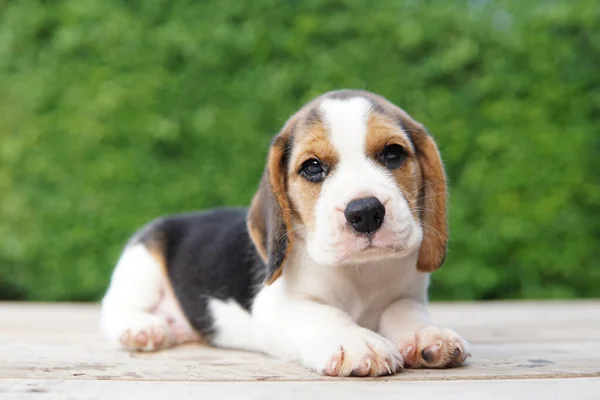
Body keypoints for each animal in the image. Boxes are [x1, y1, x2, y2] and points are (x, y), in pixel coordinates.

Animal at [101, 89, 472, 376]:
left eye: (393, 153)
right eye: (312, 167)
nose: (365, 212)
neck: (359, 273)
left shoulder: (407, 295)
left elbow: (404, 309)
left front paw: (428, 335)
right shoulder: (275, 306)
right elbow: (324, 314)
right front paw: (357, 342)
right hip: (141, 261)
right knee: (114, 308)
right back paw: (143, 328)